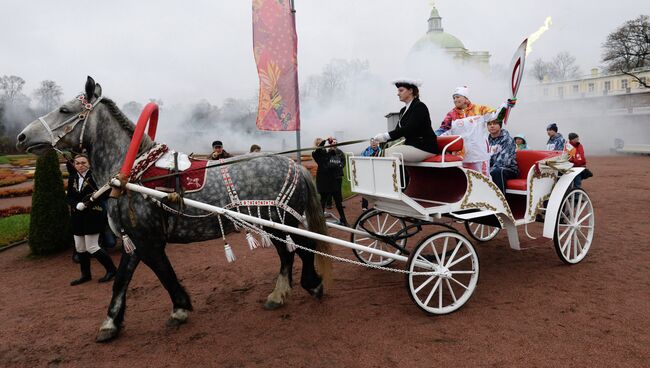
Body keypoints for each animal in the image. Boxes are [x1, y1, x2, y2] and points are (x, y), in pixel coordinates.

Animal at [16, 77, 330, 342]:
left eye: (64, 109)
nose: (21, 136)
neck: (136, 174)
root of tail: (297, 165)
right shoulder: (134, 240)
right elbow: (121, 280)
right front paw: (111, 323)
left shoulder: (149, 240)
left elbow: (164, 274)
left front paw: (179, 308)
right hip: (271, 224)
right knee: (287, 254)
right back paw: (278, 294)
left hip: (282, 220)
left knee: (303, 250)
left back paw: (312, 284)